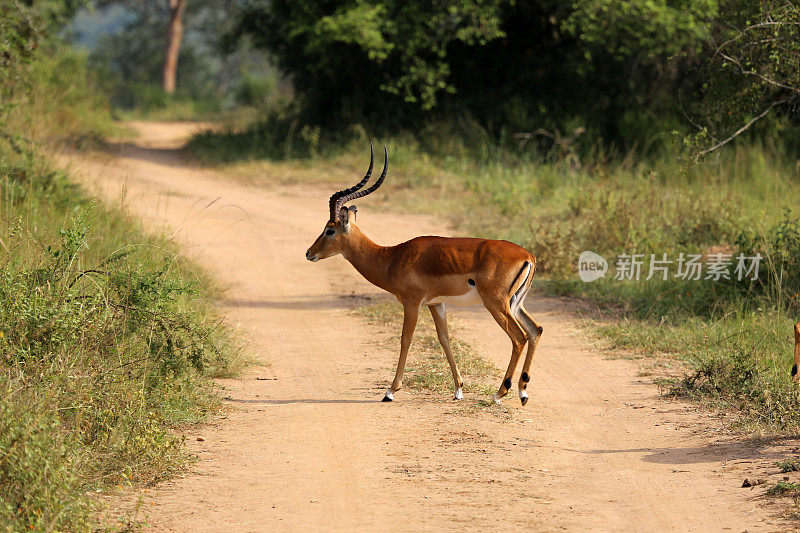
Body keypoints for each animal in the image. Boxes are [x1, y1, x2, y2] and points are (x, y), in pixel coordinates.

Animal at [306, 145, 544, 404]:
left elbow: (405, 339)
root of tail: (528, 256)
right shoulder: (436, 303)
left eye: (330, 230)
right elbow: (445, 339)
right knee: (535, 330)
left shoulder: (412, 302)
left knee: (519, 337)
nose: (309, 253)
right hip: (515, 303)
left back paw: (500, 393)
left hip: (497, 303)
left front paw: (390, 391)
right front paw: (458, 390)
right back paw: (523, 393)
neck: (392, 257)